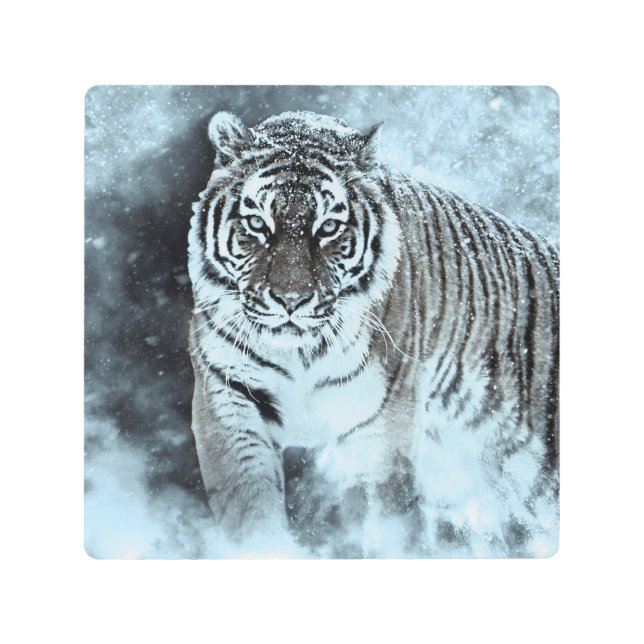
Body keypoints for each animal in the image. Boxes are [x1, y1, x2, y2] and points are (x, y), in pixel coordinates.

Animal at [187, 110, 559, 557]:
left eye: (328, 227)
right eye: (258, 223)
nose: (291, 300)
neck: (300, 355)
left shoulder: (380, 427)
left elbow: (382, 524)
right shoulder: (228, 401)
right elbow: (251, 515)